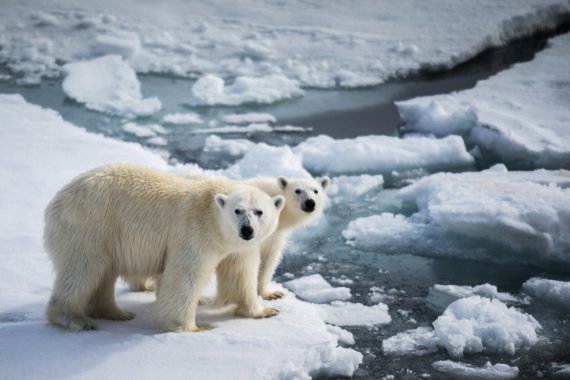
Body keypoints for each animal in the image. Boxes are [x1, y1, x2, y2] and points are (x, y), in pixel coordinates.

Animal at [44, 165, 284, 332]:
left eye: (259, 211)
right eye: (237, 210)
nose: (247, 230)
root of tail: (57, 200)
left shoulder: (238, 248)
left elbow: (240, 275)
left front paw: (264, 310)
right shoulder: (194, 232)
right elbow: (184, 276)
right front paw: (193, 327)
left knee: (102, 274)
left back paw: (116, 313)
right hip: (89, 224)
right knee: (83, 269)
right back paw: (74, 319)